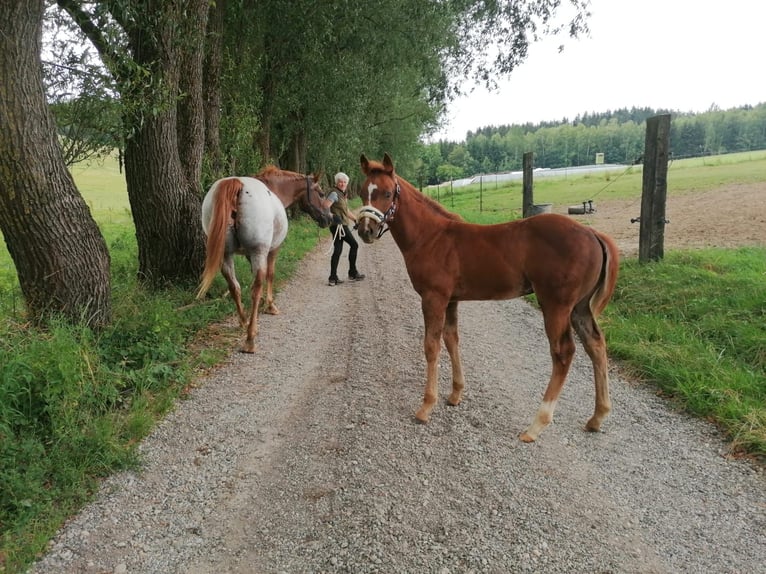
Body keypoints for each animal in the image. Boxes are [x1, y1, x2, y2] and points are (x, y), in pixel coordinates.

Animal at [198, 169, 332, 354]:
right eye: (321, 193)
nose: (329, 218)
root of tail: (237, 183)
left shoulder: (249, 255)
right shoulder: (272, 250)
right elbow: (270, 274)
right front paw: (269, 305)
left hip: (226, 255)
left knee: (234, 287)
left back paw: (244, 321)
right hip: (258, 251)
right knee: (255, 289)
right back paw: (250, 338)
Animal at [356, 152, 620, 440]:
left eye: (388, 192)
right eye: (361, 192)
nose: (365, 230)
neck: (431, 237)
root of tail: (593, 233)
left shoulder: (433, 298)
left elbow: (431, 346)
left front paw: (426, 407)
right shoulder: (451, 299)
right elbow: (451, 339)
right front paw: (455, 394)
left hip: (556, 305)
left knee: (563, 353)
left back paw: (536, 425)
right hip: (580, 307)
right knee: (596, 345)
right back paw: (597, 416)